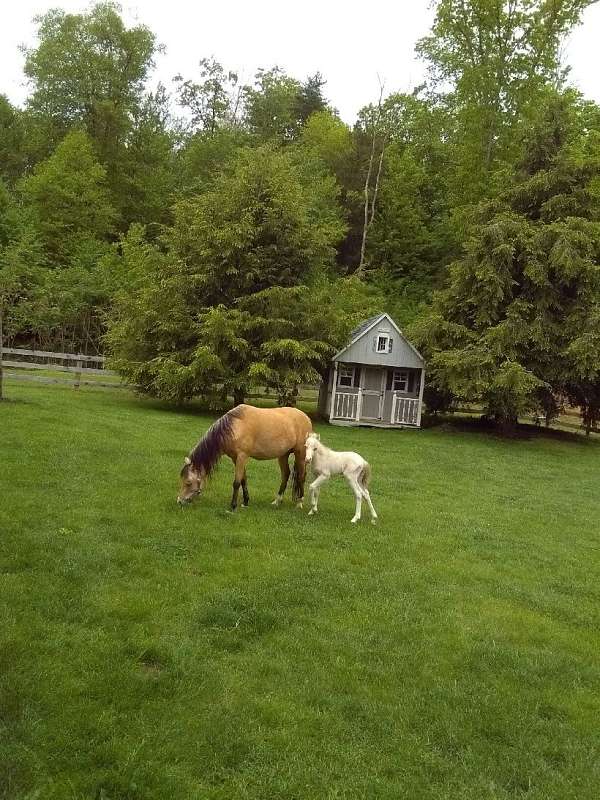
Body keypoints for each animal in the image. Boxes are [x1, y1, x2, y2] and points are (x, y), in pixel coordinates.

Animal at [177, 404, 313, 511]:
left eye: (188, 482)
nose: (179, 501)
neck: (234, 428)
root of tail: (306, 417)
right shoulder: (235, 458)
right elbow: (244, 479)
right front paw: (245, 502)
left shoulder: (242, 457)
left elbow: (237, 482)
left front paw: (233, 506)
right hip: (283, 455)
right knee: (286, 474)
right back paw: (277, 501)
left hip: (300, 454)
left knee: (301, 477)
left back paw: (299, 503)